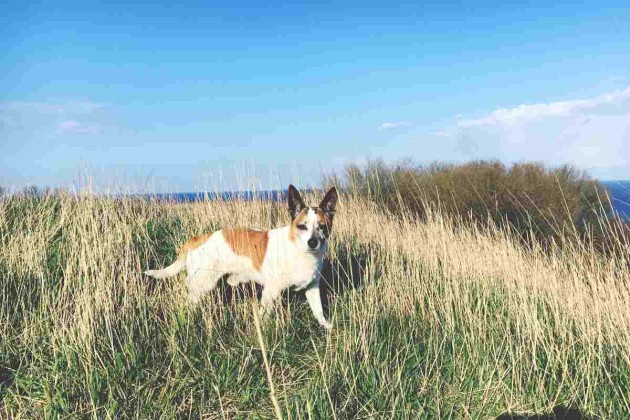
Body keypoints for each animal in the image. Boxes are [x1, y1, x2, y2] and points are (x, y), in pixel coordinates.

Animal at [145, 185, 338, 330]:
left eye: (322, 227)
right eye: (302, 226)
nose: (312, 242)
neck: (299, 250)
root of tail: (198, 239)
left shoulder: (312, 287)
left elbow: (318, 310)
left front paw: (326, 326)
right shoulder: (271, 291)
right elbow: (264, 315)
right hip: (202, 284)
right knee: (188, 301)